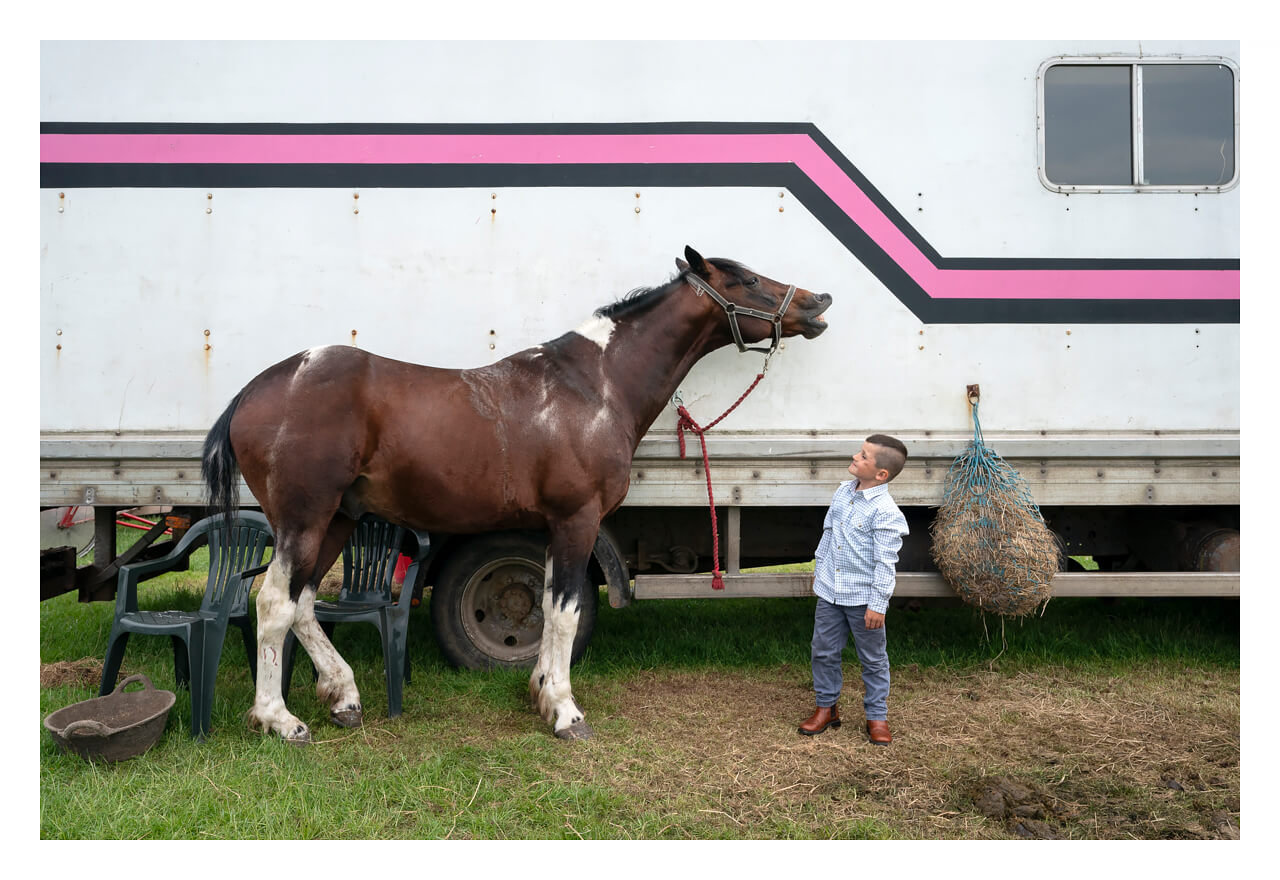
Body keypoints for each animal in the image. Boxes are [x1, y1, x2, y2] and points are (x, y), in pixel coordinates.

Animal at [199, 248, 829, 741]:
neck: (595, 383)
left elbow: (550, 609)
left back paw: (344, 695)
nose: (818, 302)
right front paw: (567, 714)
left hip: (336, 520)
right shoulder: (577, 519)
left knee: (303, 604)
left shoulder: (555, 527)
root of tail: (256, 390)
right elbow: (567, 614)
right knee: (273, 604)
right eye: (745, 279)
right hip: (303, 519)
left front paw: (542, 693)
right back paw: (279, 719)